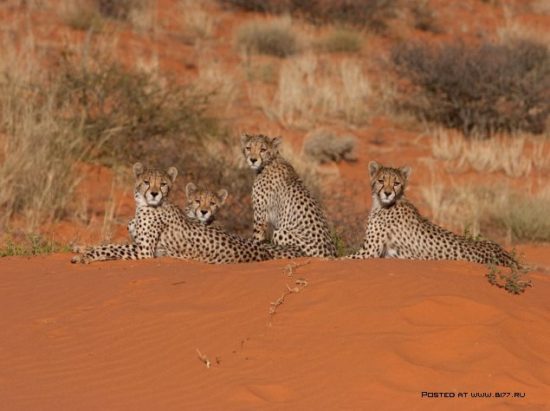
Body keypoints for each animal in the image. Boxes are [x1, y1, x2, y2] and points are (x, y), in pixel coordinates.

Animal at [71, 163, 304, 266]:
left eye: (163, 184)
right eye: (146, 181)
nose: (154, 193)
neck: (145, 206)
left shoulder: (145, 252)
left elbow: (111, 248)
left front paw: (85, 256)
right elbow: (108, 244)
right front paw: (80, 247)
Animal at [350, 161, 520, 268]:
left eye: (396, 183)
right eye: (381, 180)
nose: (387, 193)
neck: (385, 204)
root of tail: (509, 258)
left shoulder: (368, 253)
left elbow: (343, 259)